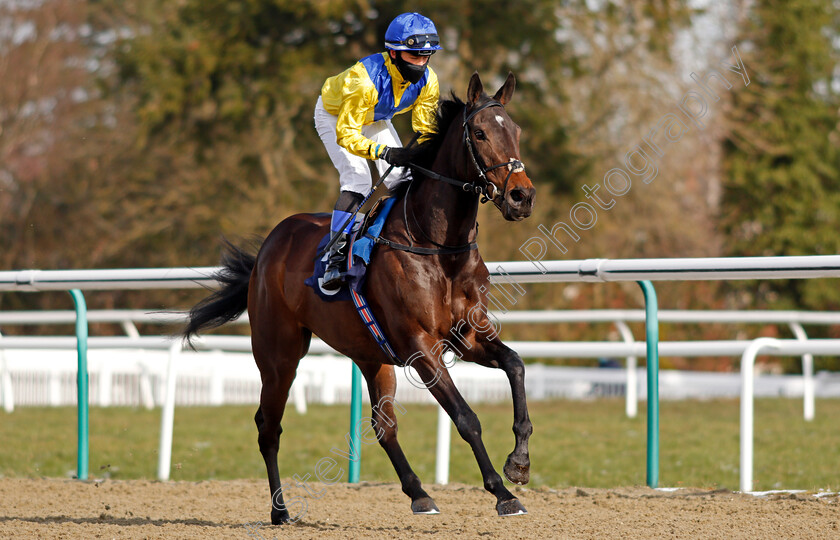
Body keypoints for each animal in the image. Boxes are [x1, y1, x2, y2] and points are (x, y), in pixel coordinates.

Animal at [184, 71, 540, 524]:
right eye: (478, 133)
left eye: (516, 131)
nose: (521, 196)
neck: (439, 245)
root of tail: (270, 245)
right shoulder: (421, 345)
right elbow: (466, 417)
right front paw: (502, 492)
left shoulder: (467, 336)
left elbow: (516, 365)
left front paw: (520, 463)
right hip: (278, 355)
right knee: (269, 426)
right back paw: (280, 511)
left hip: (372, 356)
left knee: (383, 425)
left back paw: (419, 493)